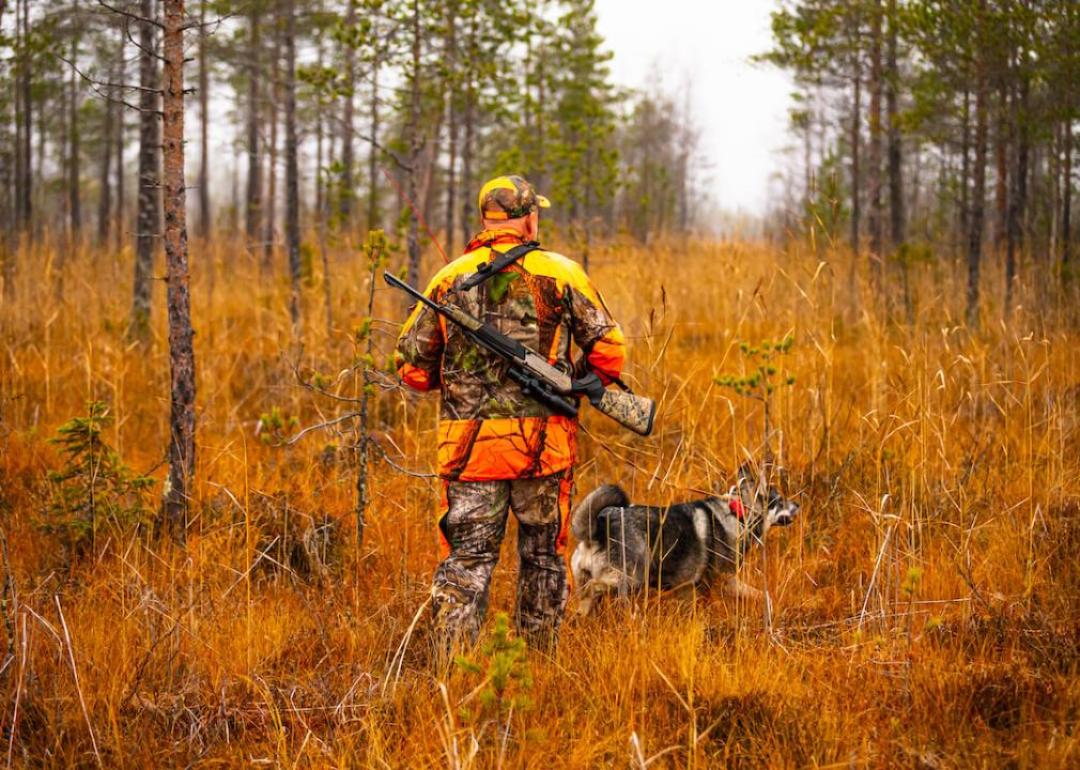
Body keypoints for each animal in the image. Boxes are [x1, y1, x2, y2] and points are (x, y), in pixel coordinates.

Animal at [570, 462, 799, 613]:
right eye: (780, 500)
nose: (798, 505)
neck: (738, 513)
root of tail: (598, 529)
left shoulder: (686, 589)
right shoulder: (727, 582)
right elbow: (764, 595)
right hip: (631, 580)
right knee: (594, 588)